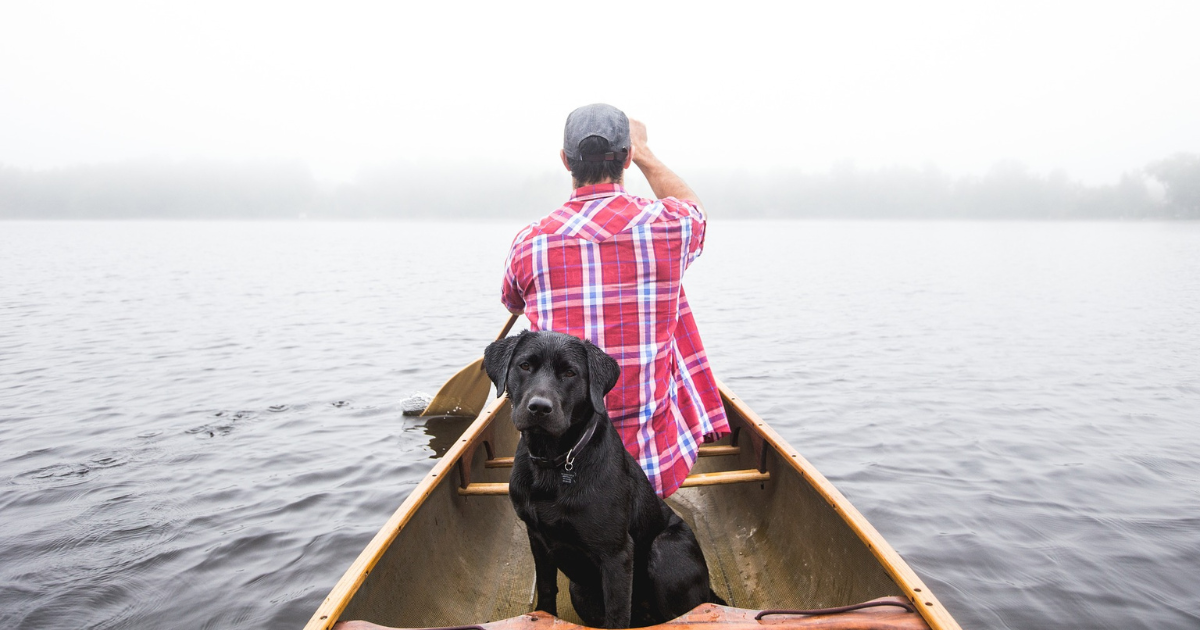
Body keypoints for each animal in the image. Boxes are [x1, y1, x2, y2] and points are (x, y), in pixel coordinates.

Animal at [484, 331, 720, 624]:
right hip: (580, 590)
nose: (539, 407)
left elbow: (617, 613)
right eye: (525, 366)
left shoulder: (616, 554)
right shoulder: (537, 538)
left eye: (570, 373)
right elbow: (547, 589)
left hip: (667, 548)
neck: (555, 463)